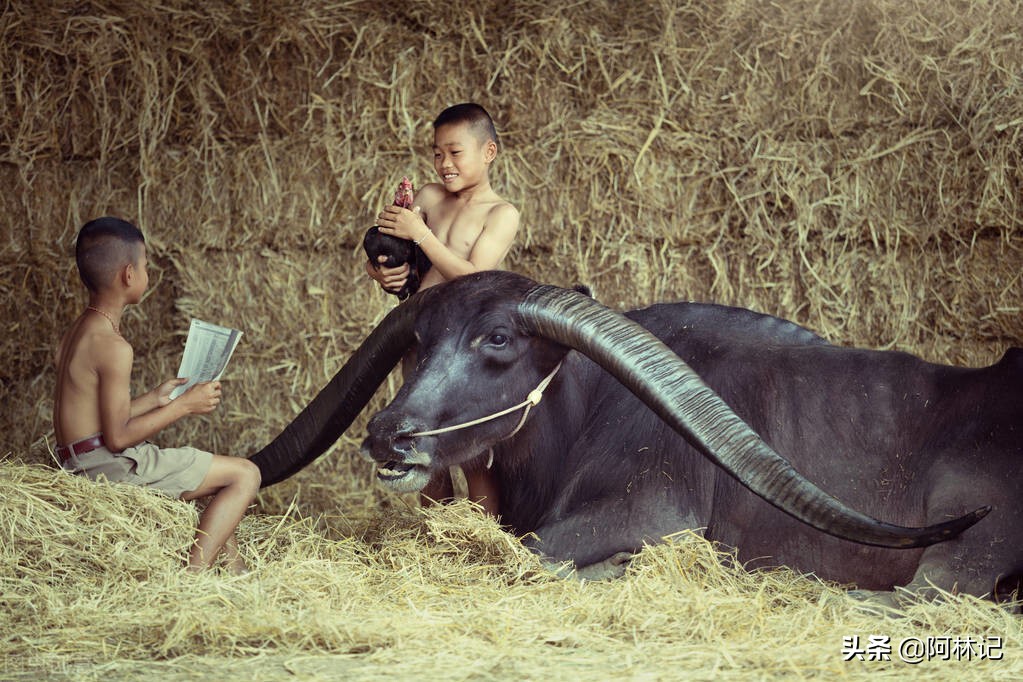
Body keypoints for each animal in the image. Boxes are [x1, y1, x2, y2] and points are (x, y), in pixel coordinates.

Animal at [249, 271, 1023, 601]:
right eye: (418, 341)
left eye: (497, 338)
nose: (389, 435)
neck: (589, 412)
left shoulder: (646, 509)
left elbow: (533, 556)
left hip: (965, 546)